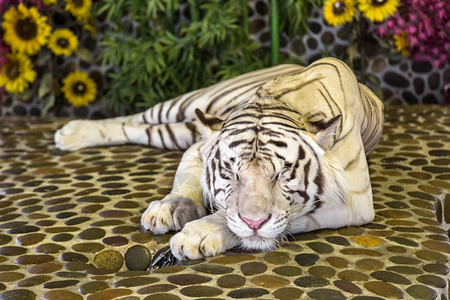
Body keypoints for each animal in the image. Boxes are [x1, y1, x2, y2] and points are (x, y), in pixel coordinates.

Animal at [53, 58, 384, 260]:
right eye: (230, 172)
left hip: (182, 128)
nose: (254, 223)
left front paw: (198, 234)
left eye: (283, 173)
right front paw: (167, 208)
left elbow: (282, 215)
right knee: (134, 119)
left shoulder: (354, 202)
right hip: (189, 103)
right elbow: (187, 182)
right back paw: (71, 132)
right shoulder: (199, 148)